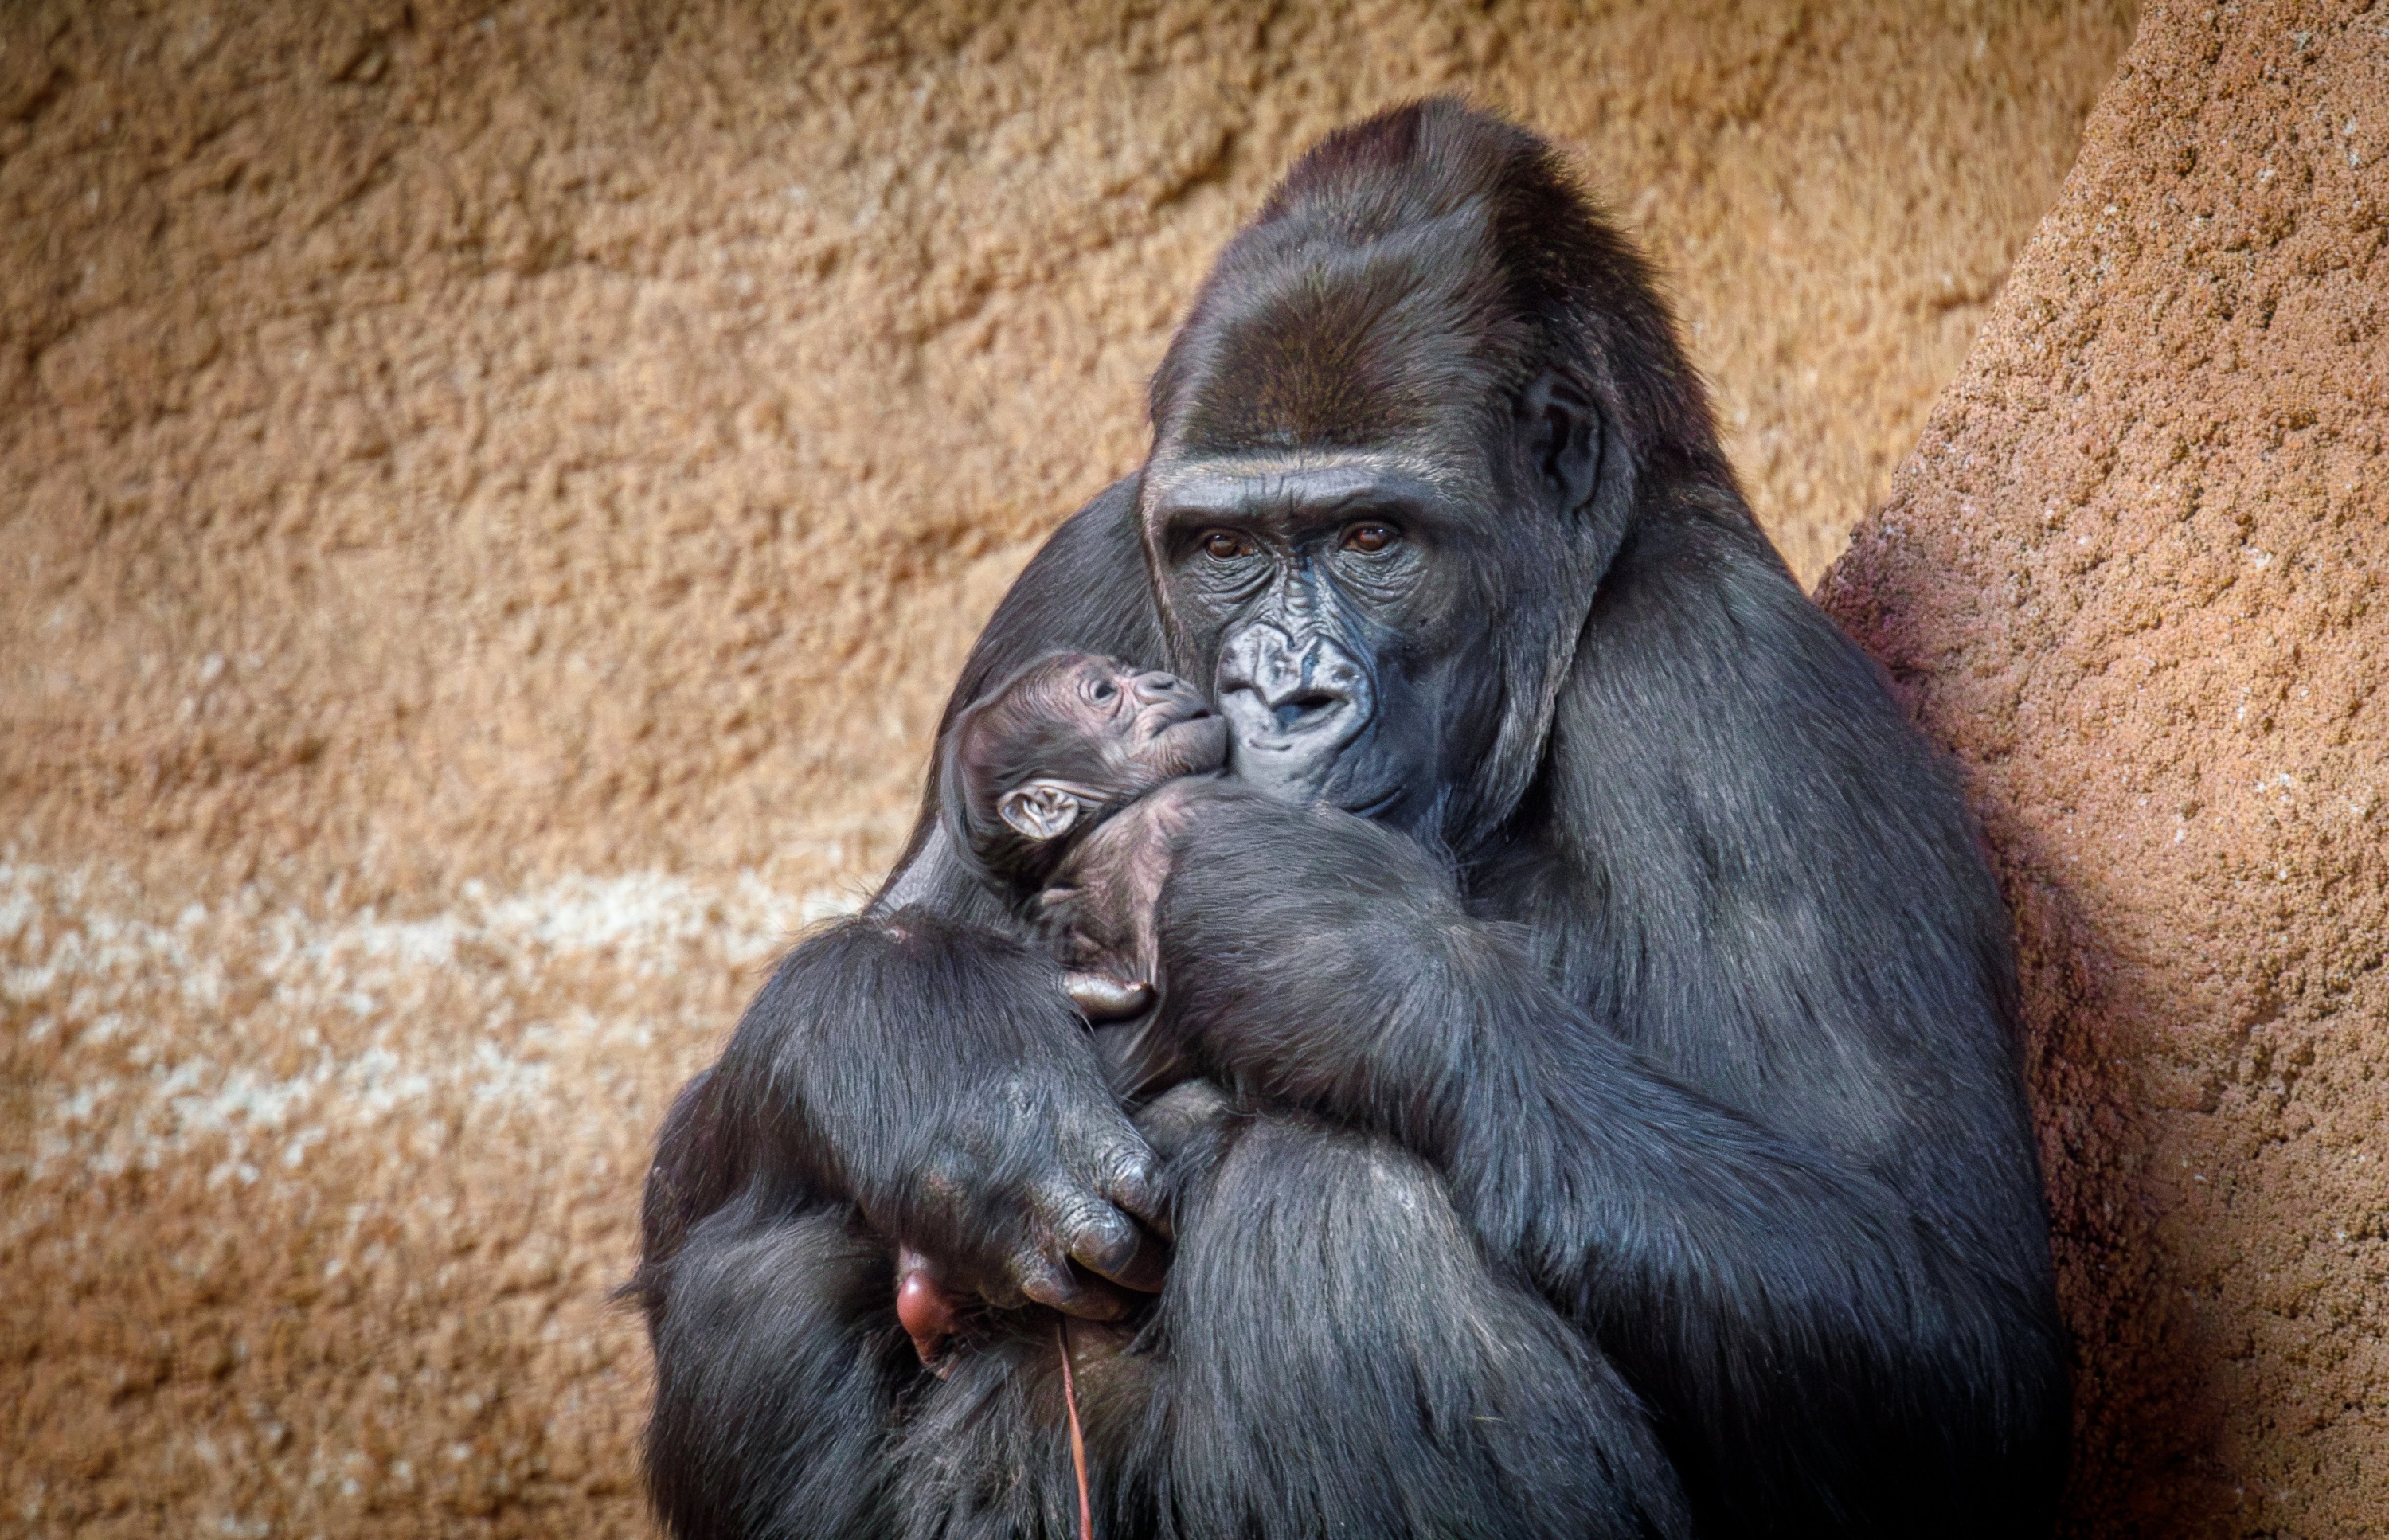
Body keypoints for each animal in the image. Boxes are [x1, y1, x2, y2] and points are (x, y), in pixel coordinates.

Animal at [640, 99, 2074, 1538]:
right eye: (1224, 550)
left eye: (1374, 536)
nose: (1283, 688)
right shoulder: (1078, 567)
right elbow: (702, 1171)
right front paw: (942, 1058)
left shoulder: (1737, 677)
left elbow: (1953, 1322)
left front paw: (1325, 945)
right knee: (764, 1245)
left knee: (1346, 1212)